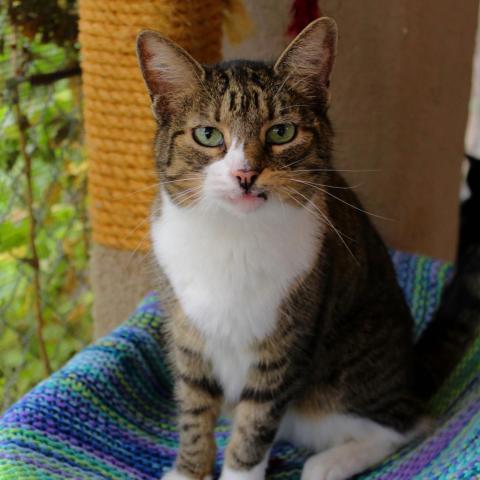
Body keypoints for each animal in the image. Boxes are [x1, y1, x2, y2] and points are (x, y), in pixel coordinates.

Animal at [137, 15, 474, 480]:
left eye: (281, 132)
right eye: (208, 134)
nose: (245, 174)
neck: (232, 235)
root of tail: (408, 370)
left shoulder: (286, 341)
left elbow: (254, 426)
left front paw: (239, 469)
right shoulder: (188, 334)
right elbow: (193, 409)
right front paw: (189, 468)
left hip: (347, 377)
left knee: (406, 423)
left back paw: (329, 463)